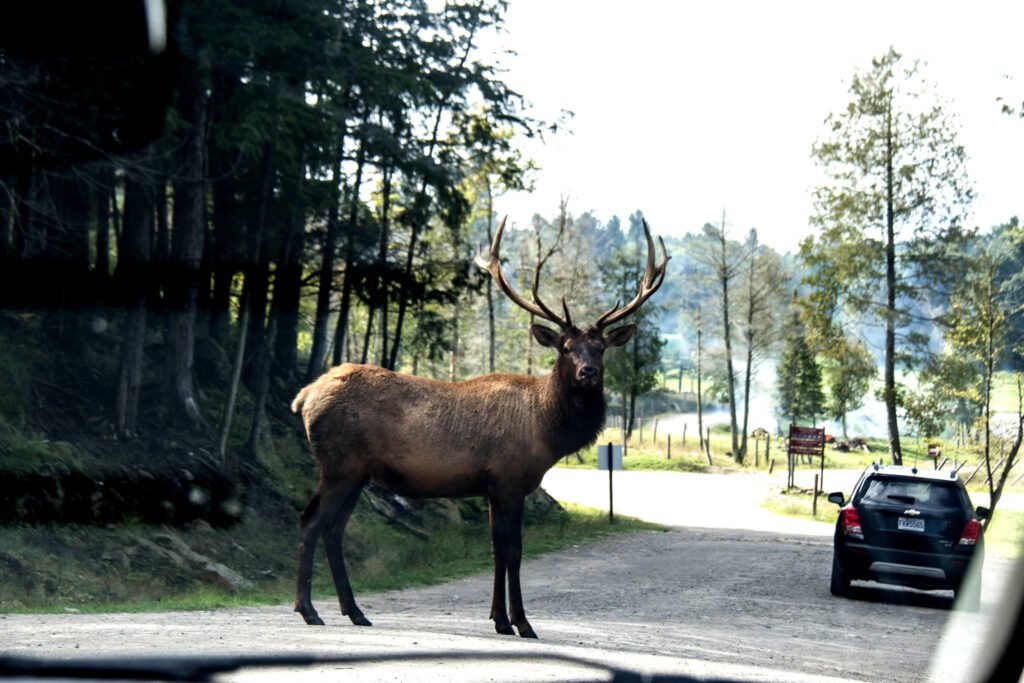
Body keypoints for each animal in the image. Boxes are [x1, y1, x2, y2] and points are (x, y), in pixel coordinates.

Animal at [290, 217, 668, 638]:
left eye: (601, 348)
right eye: (566, 348)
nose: (588, 372)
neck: (545, 432)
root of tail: (305, 396)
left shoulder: (491, 486)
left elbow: (496, 550)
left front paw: (498, 618)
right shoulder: (509, 479)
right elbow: (513, 550)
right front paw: (521, 621)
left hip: (356, 473)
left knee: (333, 529)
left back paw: (354, 611)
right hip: (339, 466)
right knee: (311, 522)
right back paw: (308, 609)